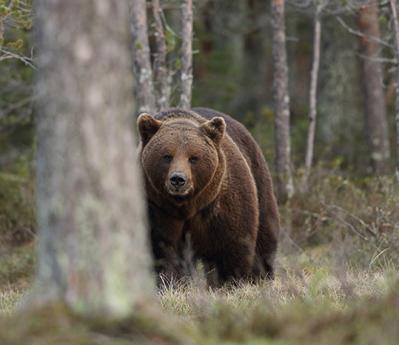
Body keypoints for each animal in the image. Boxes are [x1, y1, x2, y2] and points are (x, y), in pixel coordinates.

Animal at [138, 107, 282, 282]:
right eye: (167, 156)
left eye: (193, 158)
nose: (178, 179)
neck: (186, 205)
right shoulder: (158, 208)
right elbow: (163, 250)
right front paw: (170, 280)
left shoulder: (220, 205)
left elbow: (230, 247)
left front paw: (229, 281)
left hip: (259, 180)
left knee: (265, 237)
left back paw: (262, 276)